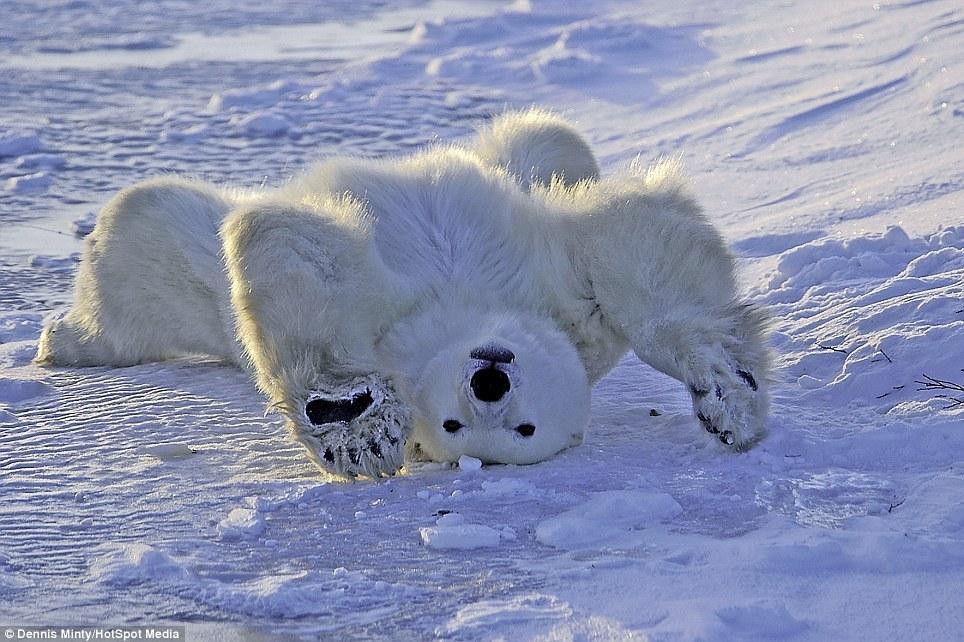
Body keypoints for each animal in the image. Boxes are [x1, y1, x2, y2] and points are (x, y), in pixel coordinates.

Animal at [35, 110, 768, 476]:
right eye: (453, 424)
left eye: (524, 429)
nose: (489, 382)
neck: (462, 311)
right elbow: (300, 258)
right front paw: (353, 421)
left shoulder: (570, 314)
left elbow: (638, 250)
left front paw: (727, 394)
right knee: (146, 230)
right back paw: (62, 340)